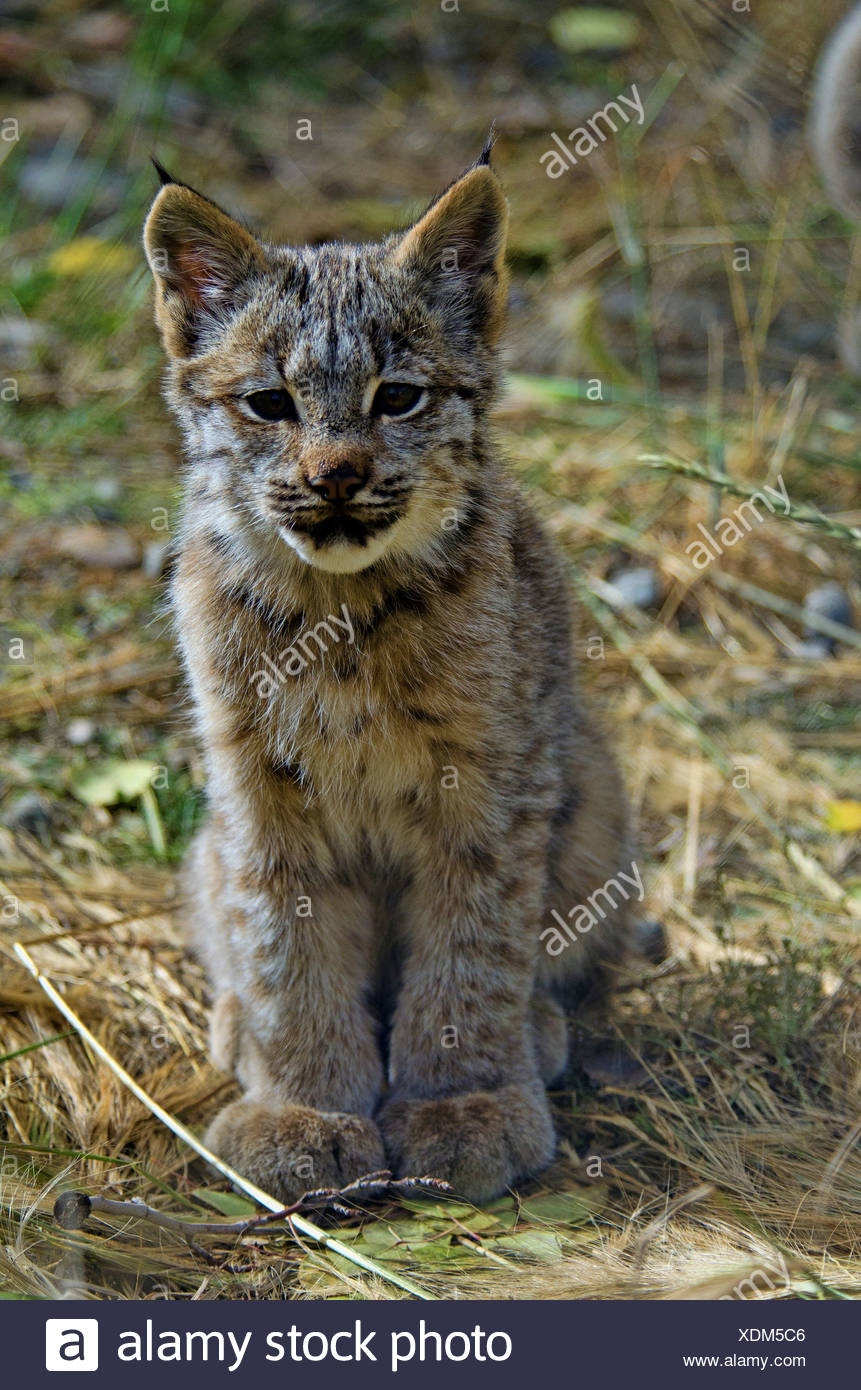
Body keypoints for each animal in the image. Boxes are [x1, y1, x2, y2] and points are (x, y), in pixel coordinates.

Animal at [144, 146, 637, 1200]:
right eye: (270, 405)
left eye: (397, 397)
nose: (335, 475)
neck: (338, 614)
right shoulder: (253, 788)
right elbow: (282, 945)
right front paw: (304, 1108)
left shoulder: (490, 784)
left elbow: (473, 946)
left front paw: (464, 1101)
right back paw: (236, 1029)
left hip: (593, 788)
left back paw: (536, 1032)